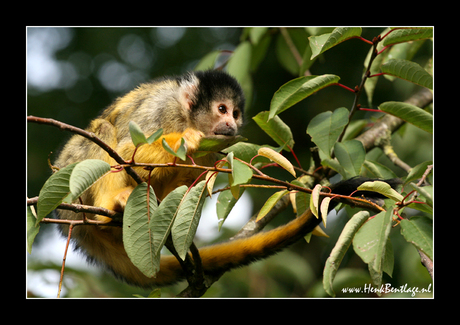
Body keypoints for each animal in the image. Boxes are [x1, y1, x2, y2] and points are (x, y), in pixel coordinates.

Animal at [54, 69, 398, 288]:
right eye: (222, 109)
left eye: (235, 113)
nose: (231, 124)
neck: (186, 116)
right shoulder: (161, 109)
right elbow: (127, 151)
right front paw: (184, 141)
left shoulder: (217, 149)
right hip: (71, 189)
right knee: (102, 133)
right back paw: (110, 202)